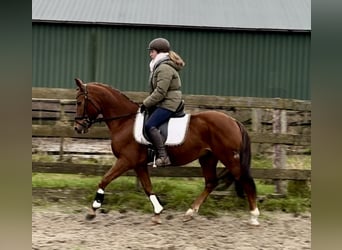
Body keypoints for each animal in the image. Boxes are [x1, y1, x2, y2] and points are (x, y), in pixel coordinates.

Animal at [73, 79, 260, 226]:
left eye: (79, 102)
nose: (77, 127)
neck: (124, 121)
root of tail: (234, 121)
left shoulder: (126, 160)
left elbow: (104, 180)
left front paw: (93, 209)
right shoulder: (139, 164)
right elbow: (147, 187)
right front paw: (158, 212)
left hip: (229, 158)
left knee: (245, 180)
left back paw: (254, 216)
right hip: (208, 158)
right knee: (211, 183)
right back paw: (190, 213)